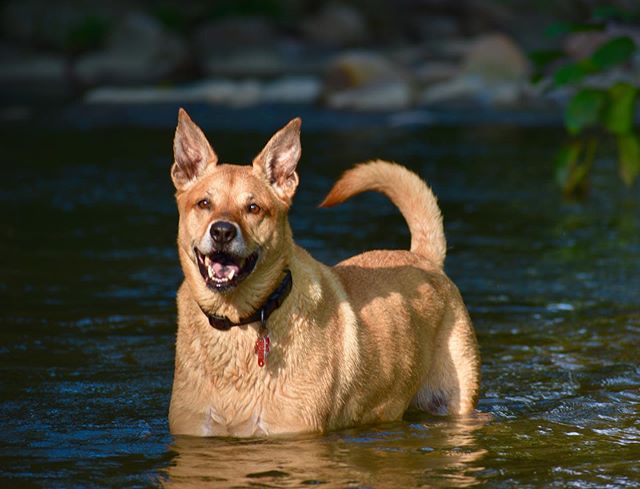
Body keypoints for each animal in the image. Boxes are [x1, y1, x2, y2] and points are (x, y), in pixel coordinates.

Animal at [168, 109, 478, 434]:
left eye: (253, 208)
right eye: (204, 203)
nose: (222, 231)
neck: (237, 320)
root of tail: (423, 256)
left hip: (453, 399)